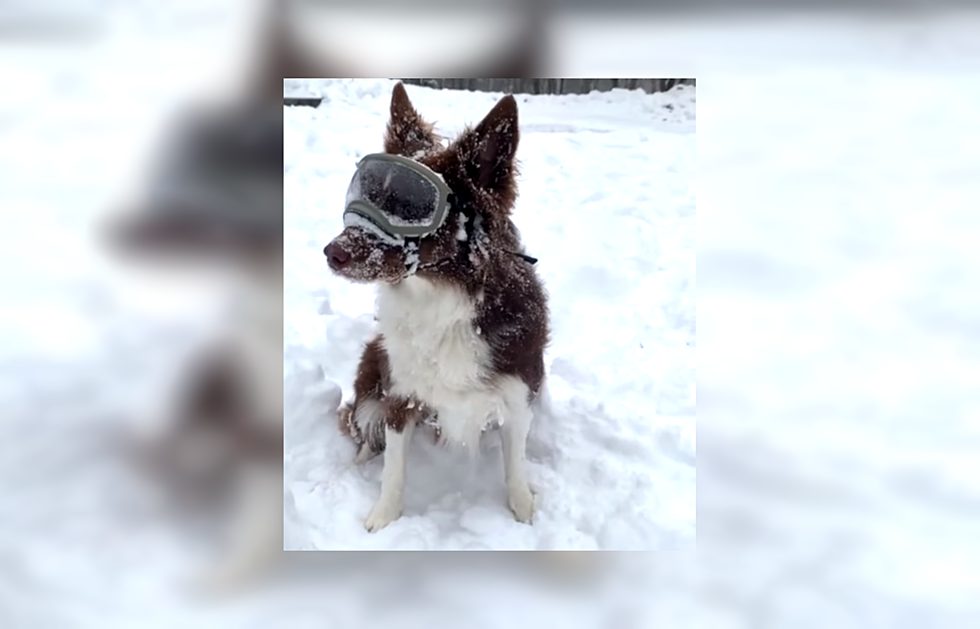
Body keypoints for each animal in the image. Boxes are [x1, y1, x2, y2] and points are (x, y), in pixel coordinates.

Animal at [324, 79, 548, 528]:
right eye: (367, 192)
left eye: (412, 205)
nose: (330, 253)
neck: (444, 299)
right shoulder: (399, 394)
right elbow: (393, 467)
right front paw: (383, 518)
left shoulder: (519, 393)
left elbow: (515, 464)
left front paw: (523, 509)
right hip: (372, 364)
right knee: (363, 428)